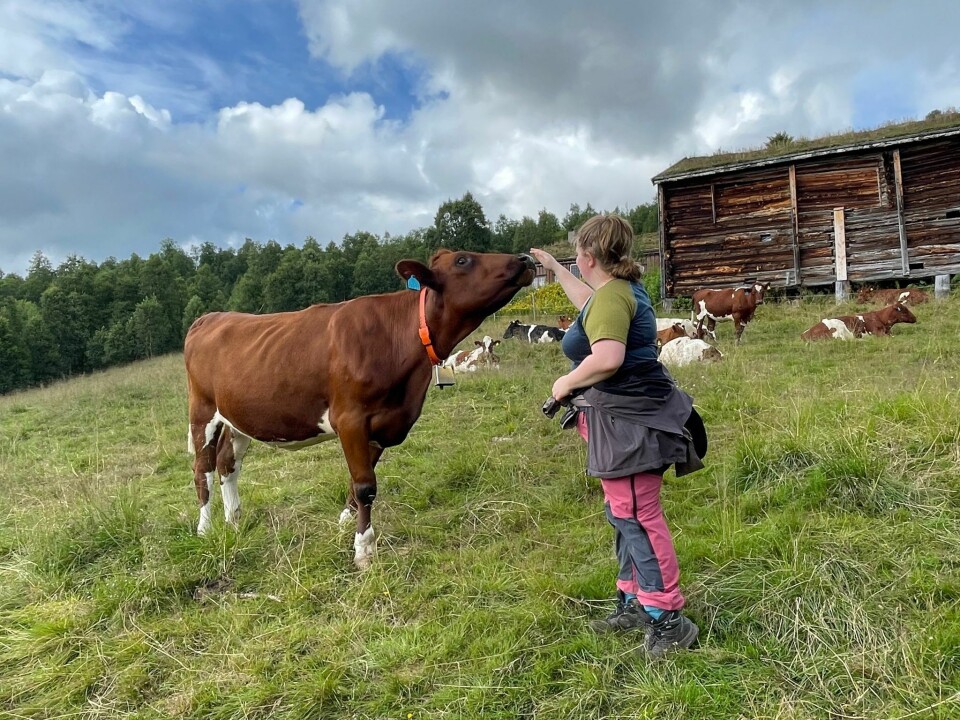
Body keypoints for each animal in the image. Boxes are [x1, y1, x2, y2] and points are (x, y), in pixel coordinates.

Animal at [184, 248, 536, 568]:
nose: (525, 258)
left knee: (228, 463)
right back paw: (205, 528)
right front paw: (364, 550)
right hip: (202, 411)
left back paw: (234, 521)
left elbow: (361, 484)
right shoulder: (350, 419)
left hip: (238, 417)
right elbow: (366, 486)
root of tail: (211, 316)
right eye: (463, 260)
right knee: (204, 468)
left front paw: (345, 523)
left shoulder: (385, 423)